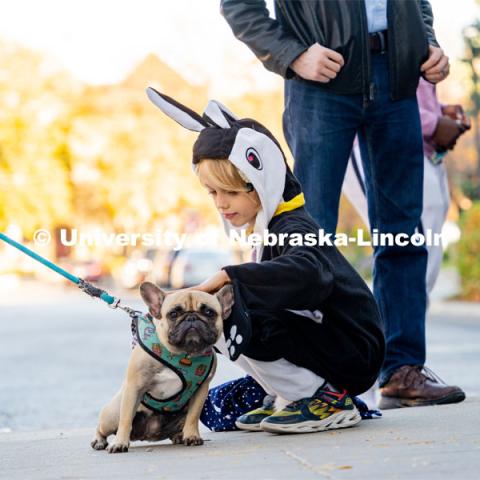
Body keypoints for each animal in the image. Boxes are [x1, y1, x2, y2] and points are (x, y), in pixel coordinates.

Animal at [91, 282, 234, 454]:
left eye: (209, 312)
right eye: (173, 313)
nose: (191, 317)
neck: (184, 354)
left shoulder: (201, 390)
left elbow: (193, 416)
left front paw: (192, 436)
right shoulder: (134, 387)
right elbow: (125, 420)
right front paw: (119, 443)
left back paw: (180, 436)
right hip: (112, 414)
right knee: (103, 426)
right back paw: (99, 440)